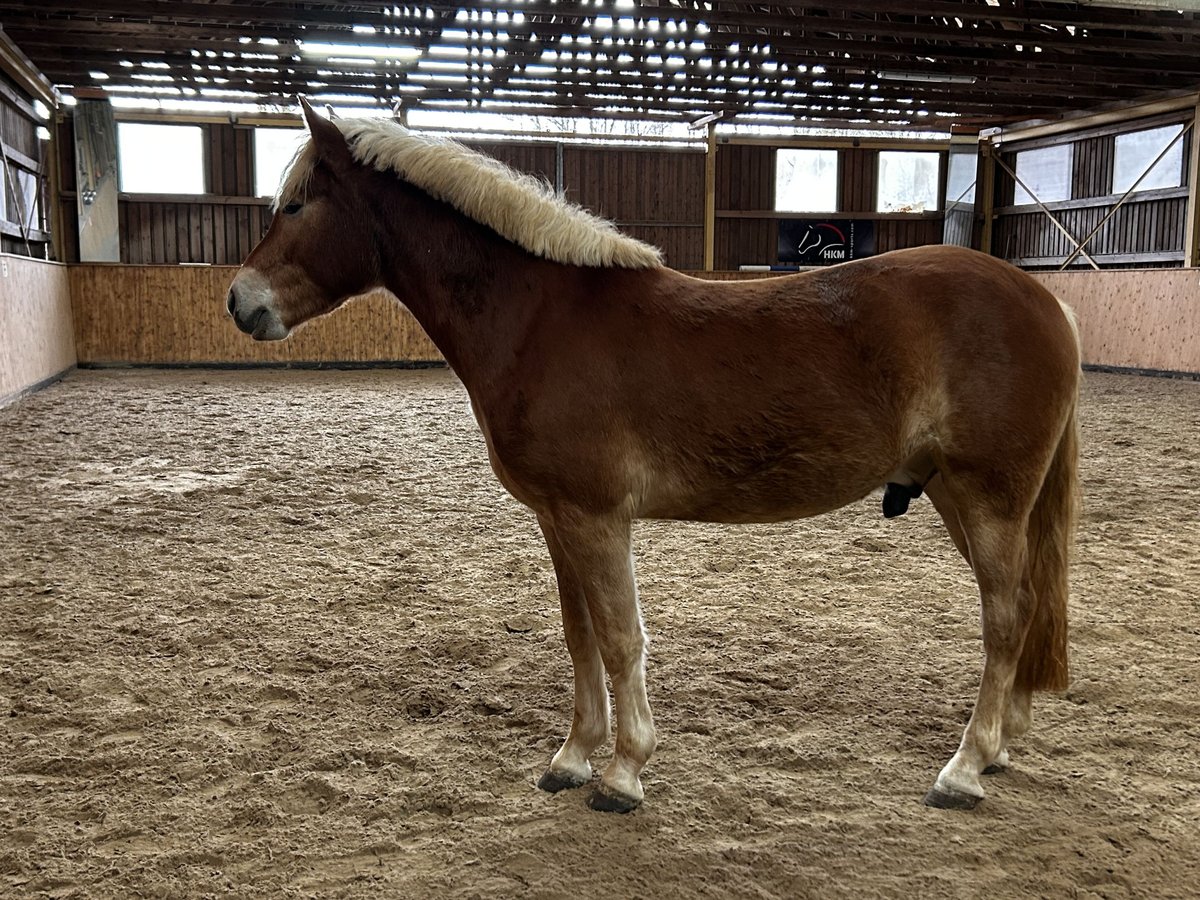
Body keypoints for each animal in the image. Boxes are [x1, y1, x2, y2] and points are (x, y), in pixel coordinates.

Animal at [229, 100, 1084, 816]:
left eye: (297, 205)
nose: (240, 302)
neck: (538, 318)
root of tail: (1047, 302)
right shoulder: (559, 520)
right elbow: (579, 636)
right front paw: (573, 757)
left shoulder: (598, 517)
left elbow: (619, 637)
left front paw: (623, 771)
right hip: (958, 497)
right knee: (1020, 613)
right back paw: (998, 750)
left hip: (988, 499)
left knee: (1007, 617)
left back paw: (965, 768)